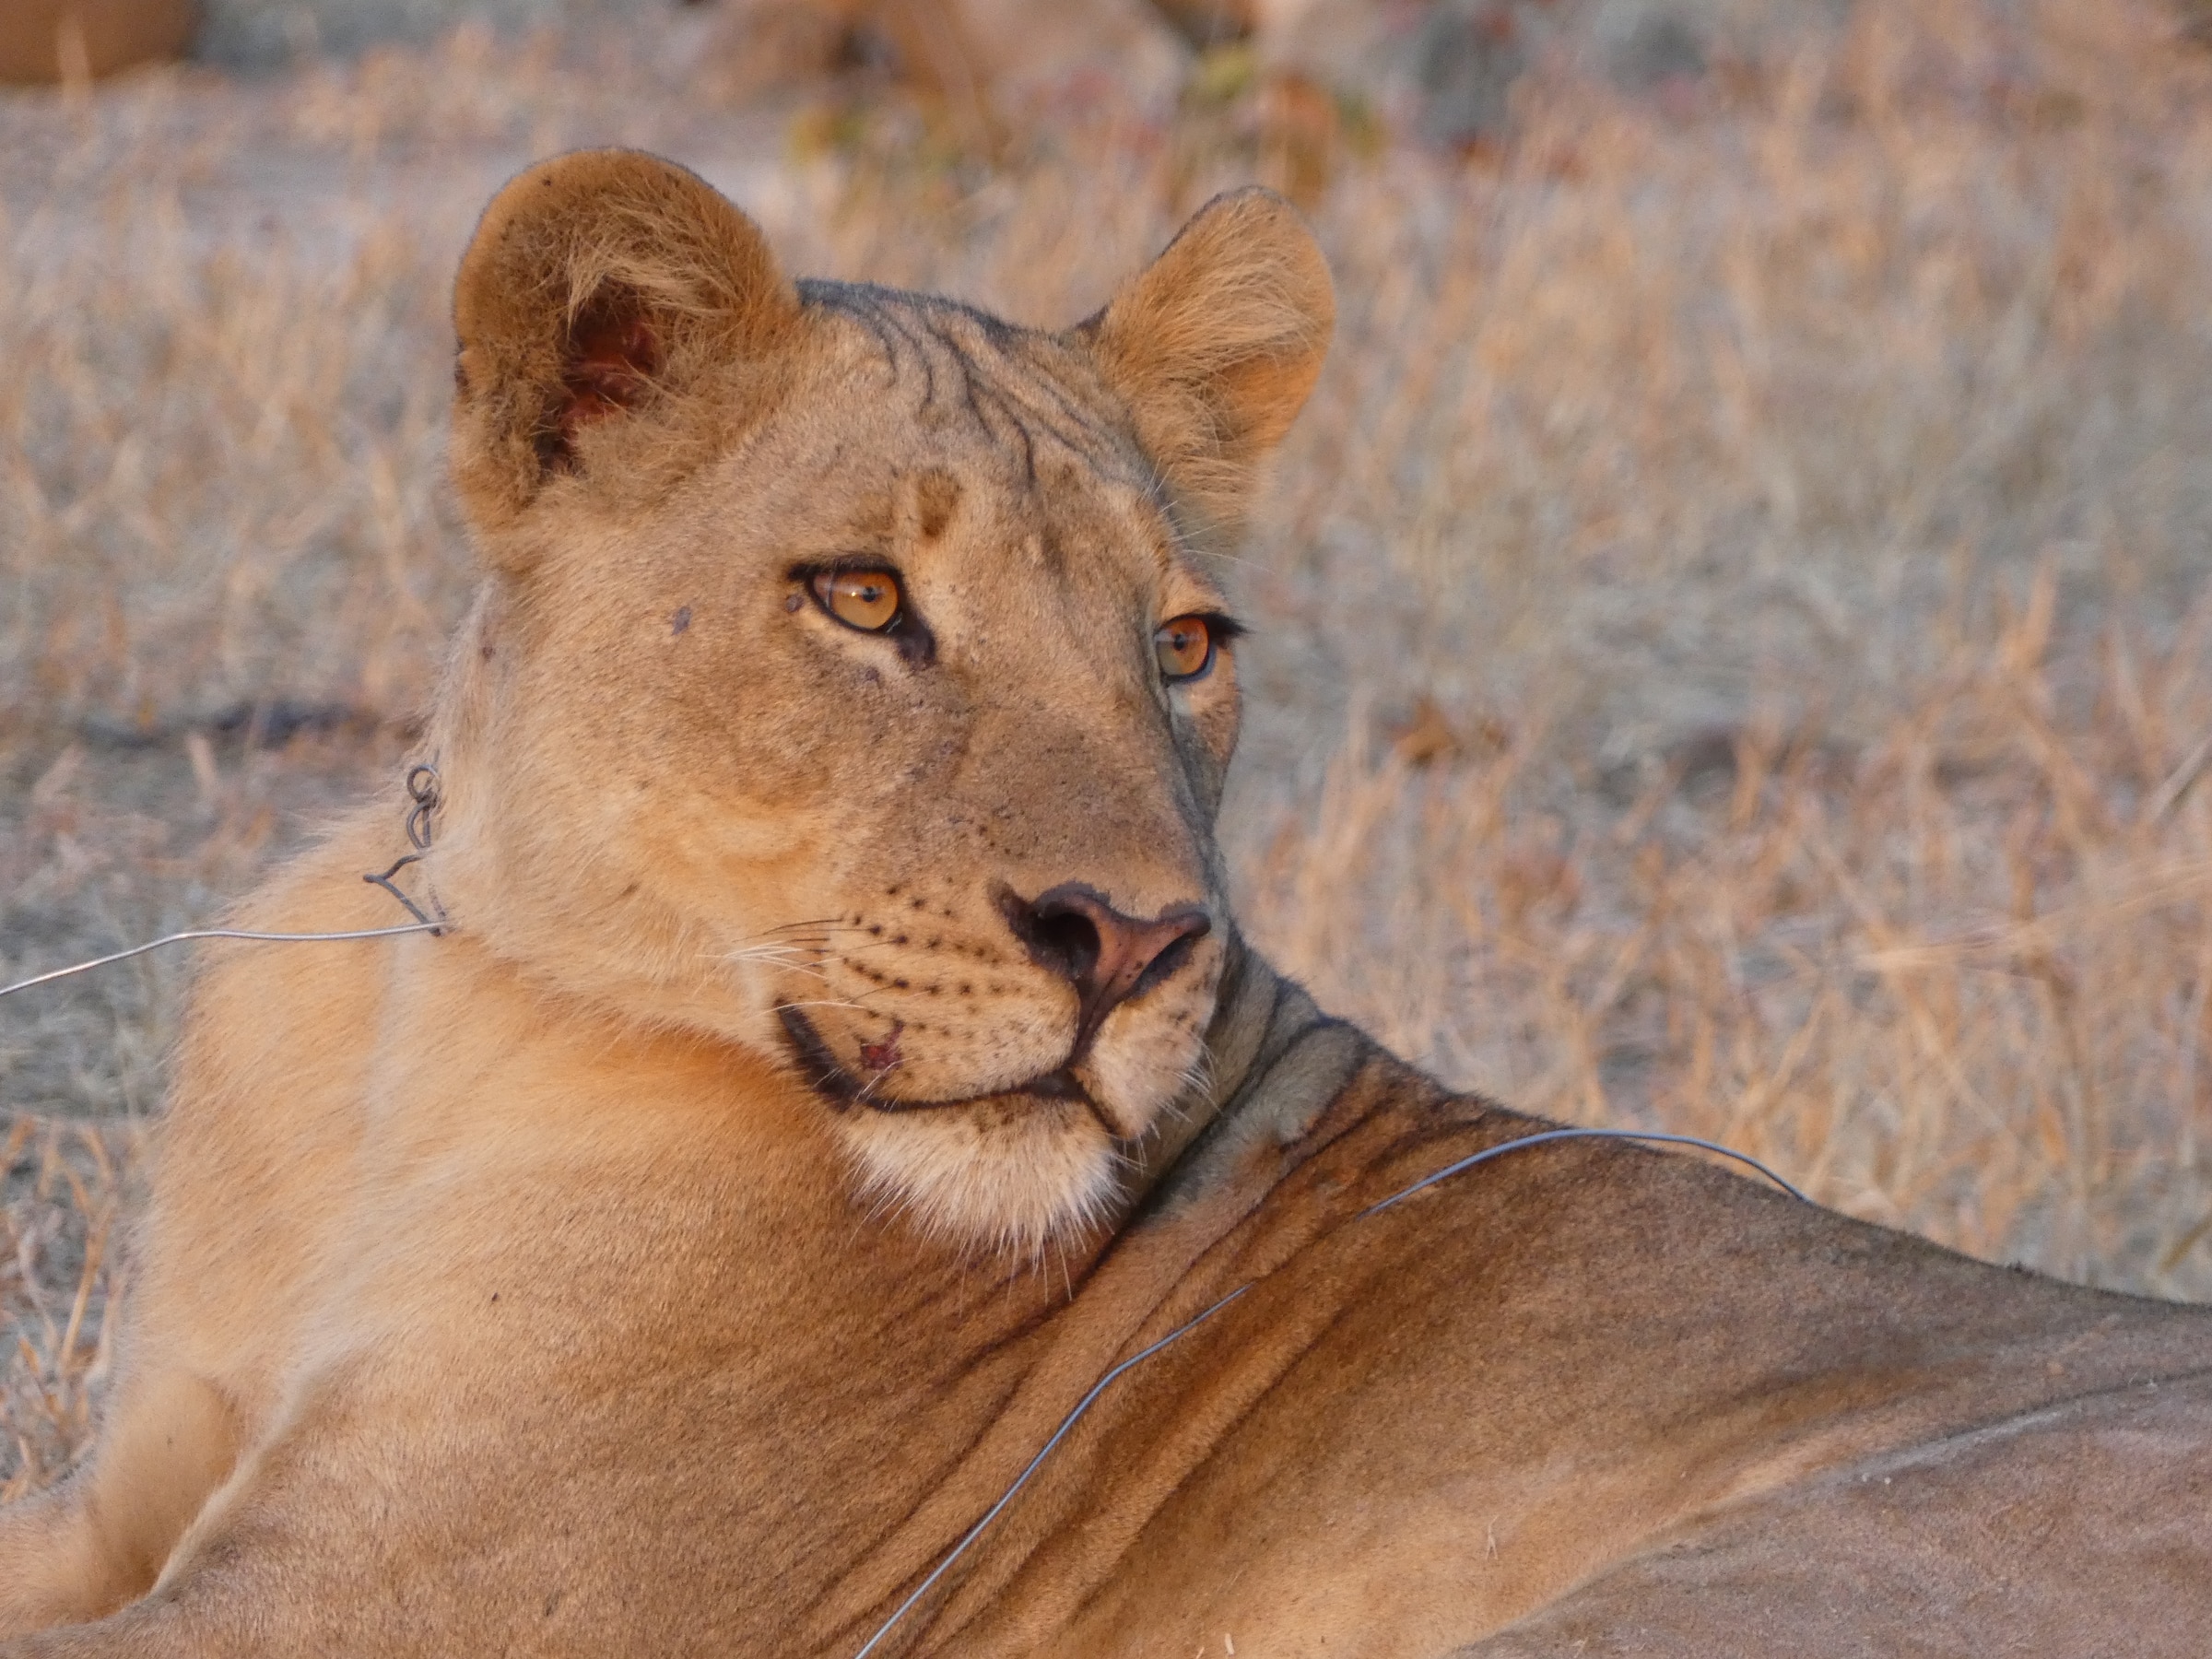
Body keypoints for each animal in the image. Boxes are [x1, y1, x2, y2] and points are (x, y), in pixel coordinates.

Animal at [2, 149, 2209, 1657]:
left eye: (1182, 644)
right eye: (864, 599)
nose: (1138, 945)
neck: (445, 1004)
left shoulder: (364, 1608)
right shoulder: (138, 1507)